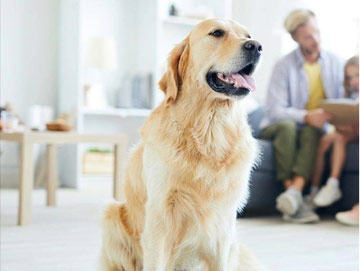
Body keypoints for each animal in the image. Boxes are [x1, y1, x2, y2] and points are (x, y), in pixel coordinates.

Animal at [100, 18, 262, 270]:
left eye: (248, 35)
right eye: (217, 33)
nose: (256, 46)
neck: (210, 130)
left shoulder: (223, 228)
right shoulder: (159, 219)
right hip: (112, 217)